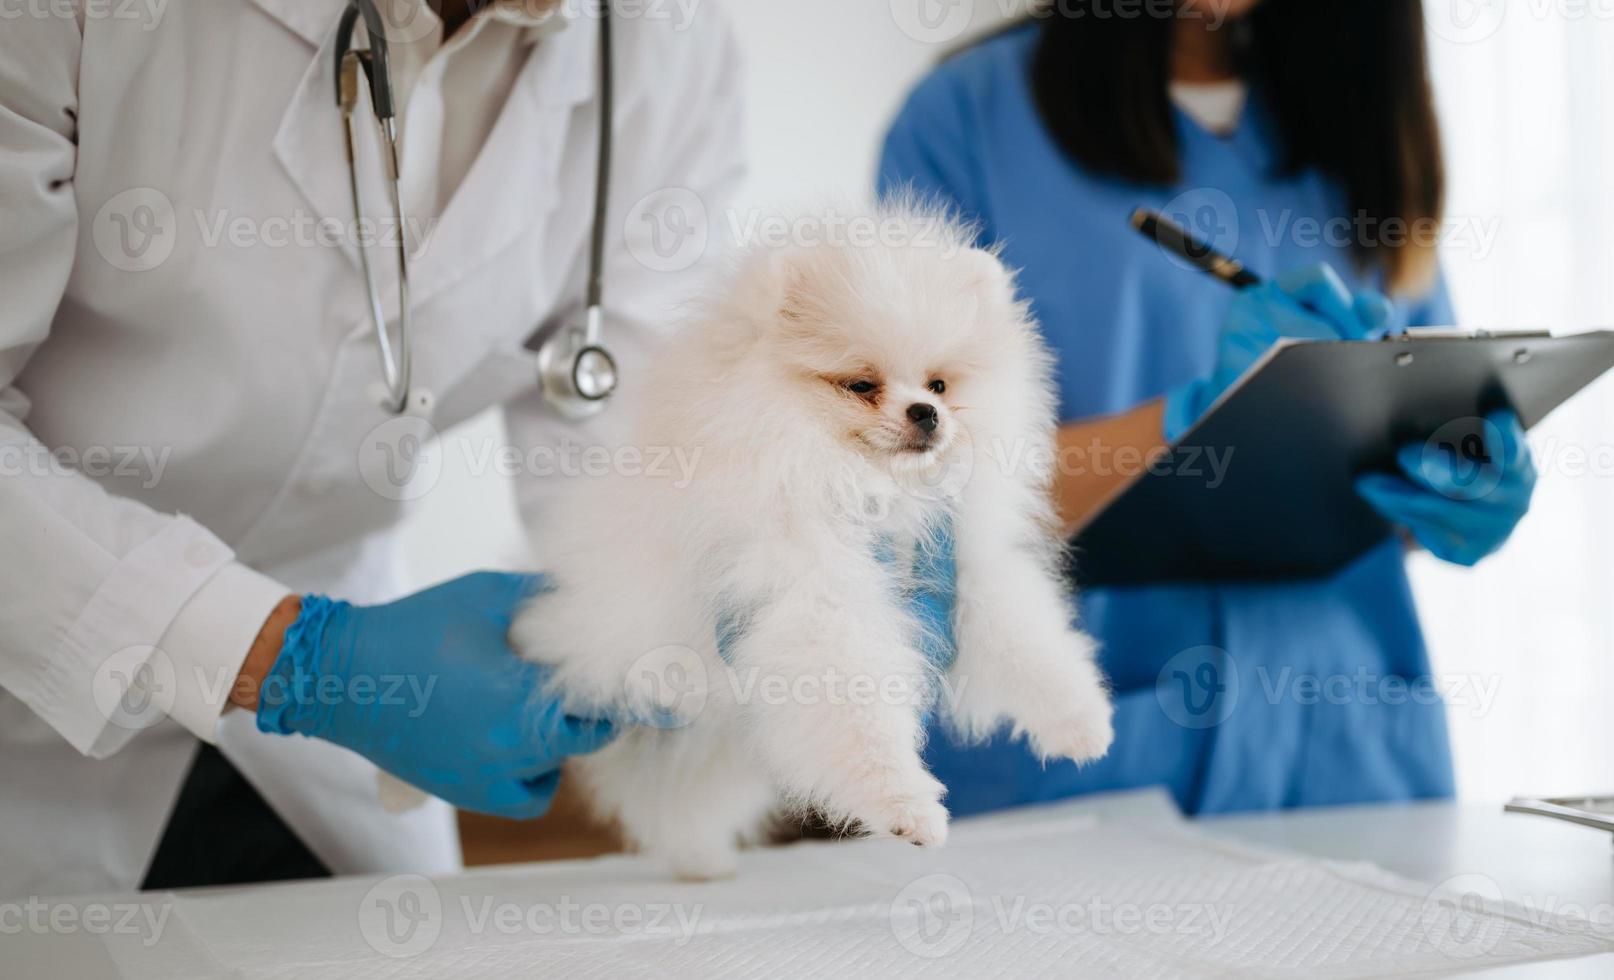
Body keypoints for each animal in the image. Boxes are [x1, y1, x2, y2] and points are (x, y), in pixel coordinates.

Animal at [510, 205, 1116, 884]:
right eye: (861, 384)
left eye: (938, 383)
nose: (927, 413)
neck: (869, 489)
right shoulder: (816, 599)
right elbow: (858, 712)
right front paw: (908, 806)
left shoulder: (964, 571)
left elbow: (1029, 644)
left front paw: (1080, 721)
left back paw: (700, 860)